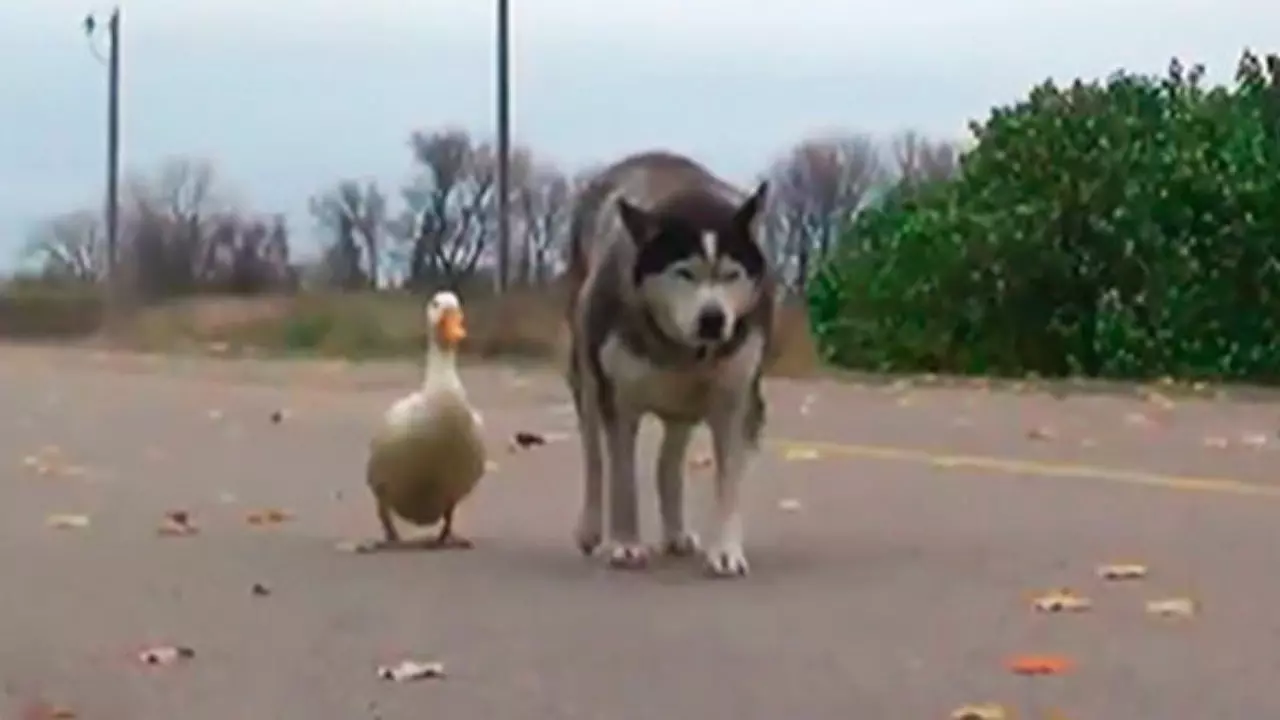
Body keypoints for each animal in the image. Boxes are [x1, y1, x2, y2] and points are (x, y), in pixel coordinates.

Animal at [568, 151, 768, 576]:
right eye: (684, 273)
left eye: (732, 274)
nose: (713, 319)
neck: (682, 349)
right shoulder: (618, 400)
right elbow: (622, 477)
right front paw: (626, 544)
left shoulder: (736, 397)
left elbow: (728, 479)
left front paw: (726, 551)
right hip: (586, 375)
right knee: (594, 456)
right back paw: (591, 529)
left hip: (684, 402)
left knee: (667, 463)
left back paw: (676, 533)